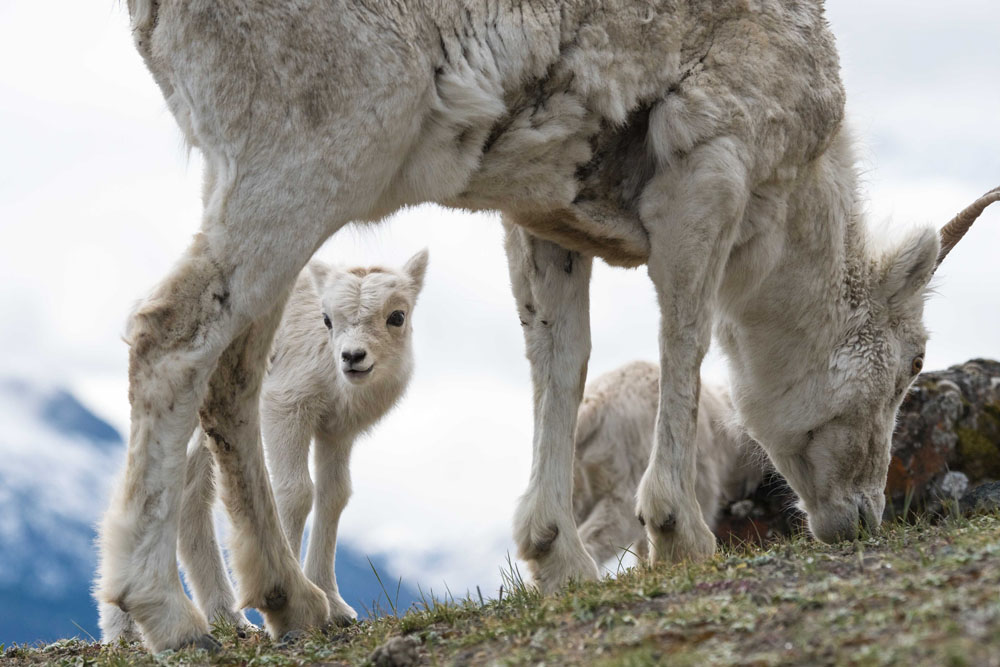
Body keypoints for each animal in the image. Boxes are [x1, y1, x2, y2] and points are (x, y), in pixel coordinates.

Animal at [98, 251, 428, 643]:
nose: (353, 357)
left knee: (189, 496)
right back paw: (125, 632)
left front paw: (336, 608)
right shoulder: (284, 409)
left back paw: (228, 618)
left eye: (397, 316)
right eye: (327, 318)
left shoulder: (336, 432)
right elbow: (295, 492)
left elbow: (334, 497)